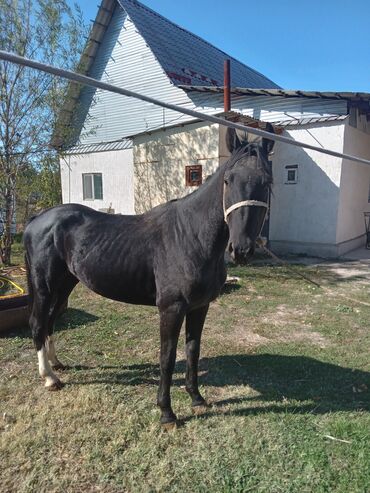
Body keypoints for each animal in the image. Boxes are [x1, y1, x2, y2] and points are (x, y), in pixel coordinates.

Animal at [22, 125, 272, 424]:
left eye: (267, 182)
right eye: (228, 180)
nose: (241, 249)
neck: (191, 236)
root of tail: (37, 220)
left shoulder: (199, 307)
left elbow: (193, 350)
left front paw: (197, 398)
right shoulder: (171, 309)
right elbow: (167, 357)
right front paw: (167, 413)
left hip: (64, 285)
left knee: (50, 321)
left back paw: (56, 364)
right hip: (45, 286)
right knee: (38, 323)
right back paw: (49, 378)